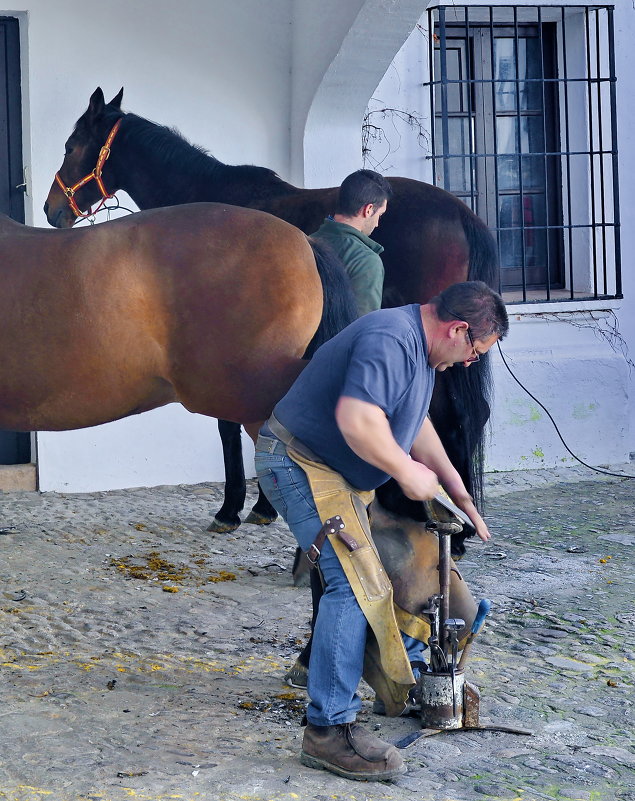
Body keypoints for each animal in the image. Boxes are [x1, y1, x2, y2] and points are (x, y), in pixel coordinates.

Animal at [44, 89, 500, 536]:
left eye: (70, 147)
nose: (51, 210)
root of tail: (462, 213)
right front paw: (264, 506)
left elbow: (233, 425)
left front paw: (235, 508)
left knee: (451, 416)